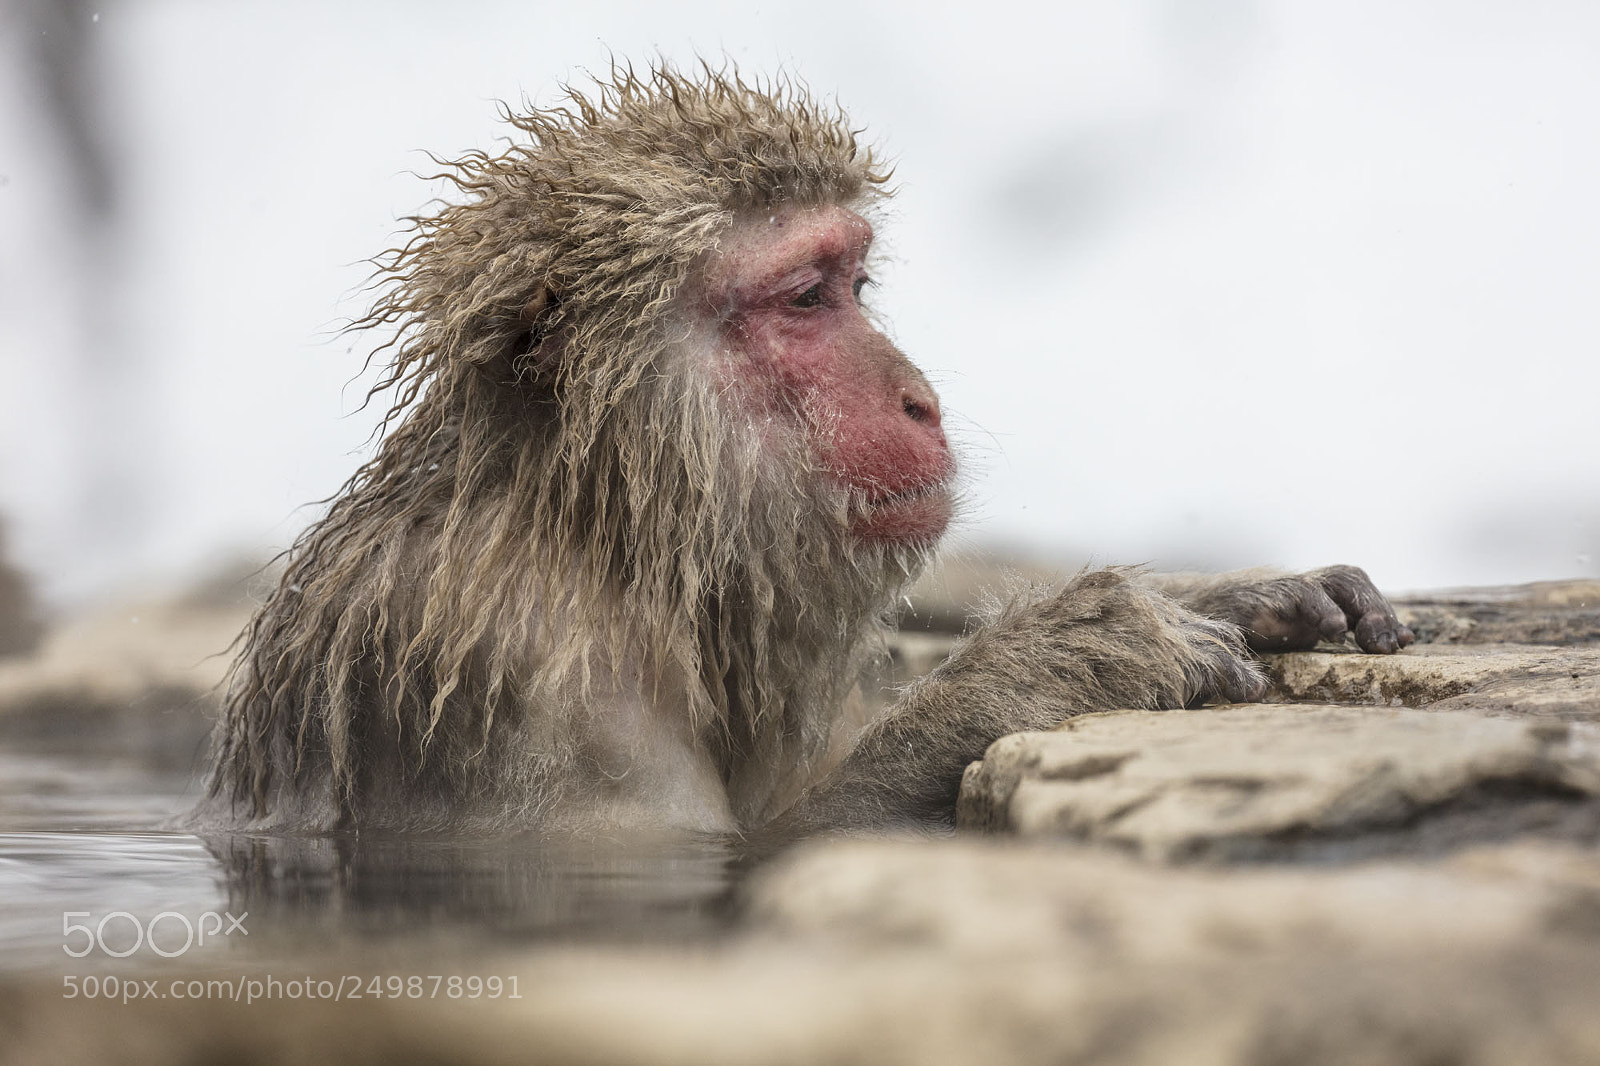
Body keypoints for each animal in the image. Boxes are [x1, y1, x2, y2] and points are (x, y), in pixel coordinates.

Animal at [195, 64, 1413, 842]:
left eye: (855, 283)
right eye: (803, 299)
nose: (920, 400)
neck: (602, 524)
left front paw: (1240, 593)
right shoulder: (508, 658)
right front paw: (1065, 654)